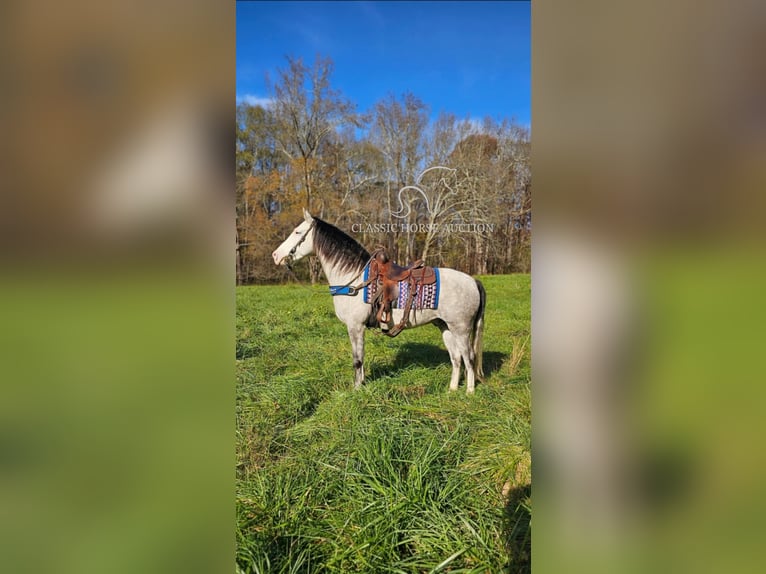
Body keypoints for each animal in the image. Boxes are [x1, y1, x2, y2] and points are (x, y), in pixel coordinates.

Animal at [272, 212, 486, 396]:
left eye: (297, 232)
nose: (276, 255)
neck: (353, 278)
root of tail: (473, 281)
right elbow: (361, 357)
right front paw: (361, 384)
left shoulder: (355, 327)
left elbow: (357, 360)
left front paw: (356, 389)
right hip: (445, 327)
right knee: (456, 358)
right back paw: (452, 389)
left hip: (461, 329)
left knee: (469, 358)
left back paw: (469, 392)